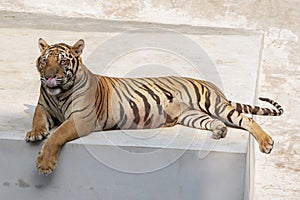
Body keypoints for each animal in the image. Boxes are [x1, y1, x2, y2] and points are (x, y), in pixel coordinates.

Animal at [25, 38, 284, 175]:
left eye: (62, 62)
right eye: (45, 61)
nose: (49, 76)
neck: (59, 94)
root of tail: (210, 84)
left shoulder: (81, 119)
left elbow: (57, 135)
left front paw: (45, 164)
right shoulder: (43, 106)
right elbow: (38, 118)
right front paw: (35, 133)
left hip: (213, 103)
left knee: (246, 119)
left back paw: (266, 142)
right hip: (191, 115)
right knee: (214, 122)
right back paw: (219, 131)